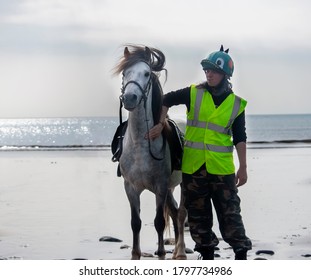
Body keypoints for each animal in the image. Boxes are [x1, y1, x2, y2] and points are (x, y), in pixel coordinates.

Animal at [114, 43, 188, 260]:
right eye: (125, 73)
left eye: (146, 73)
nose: (129, 98)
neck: (140, 144)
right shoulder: (130, 188)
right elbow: (135, 222)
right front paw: (135, 253)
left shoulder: (160, 187)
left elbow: (159, 222)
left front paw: (161, 252)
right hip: (171, 187)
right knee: (174, 211)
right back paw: (176, 252)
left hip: (183, 184)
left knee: (181, 213)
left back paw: (180, 252)